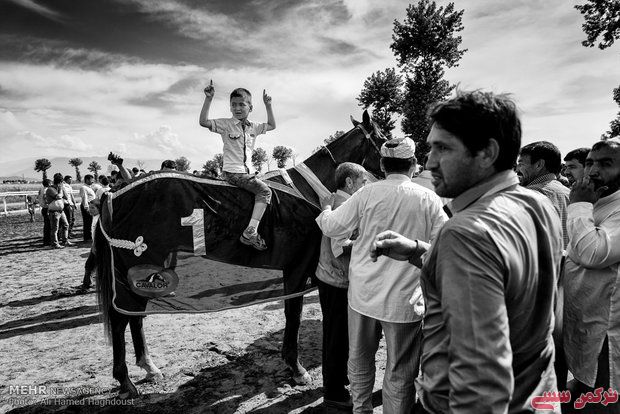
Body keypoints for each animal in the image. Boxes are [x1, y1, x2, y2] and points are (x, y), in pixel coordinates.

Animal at [94, 110, 387, 398]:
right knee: (121, 318)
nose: (407, 164)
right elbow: (294, 315)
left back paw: (149, 367)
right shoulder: (297, 267)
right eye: (385, 139)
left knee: (134, 316)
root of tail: (112, 195)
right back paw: (125, 382)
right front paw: (296, 368)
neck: (307, 191)